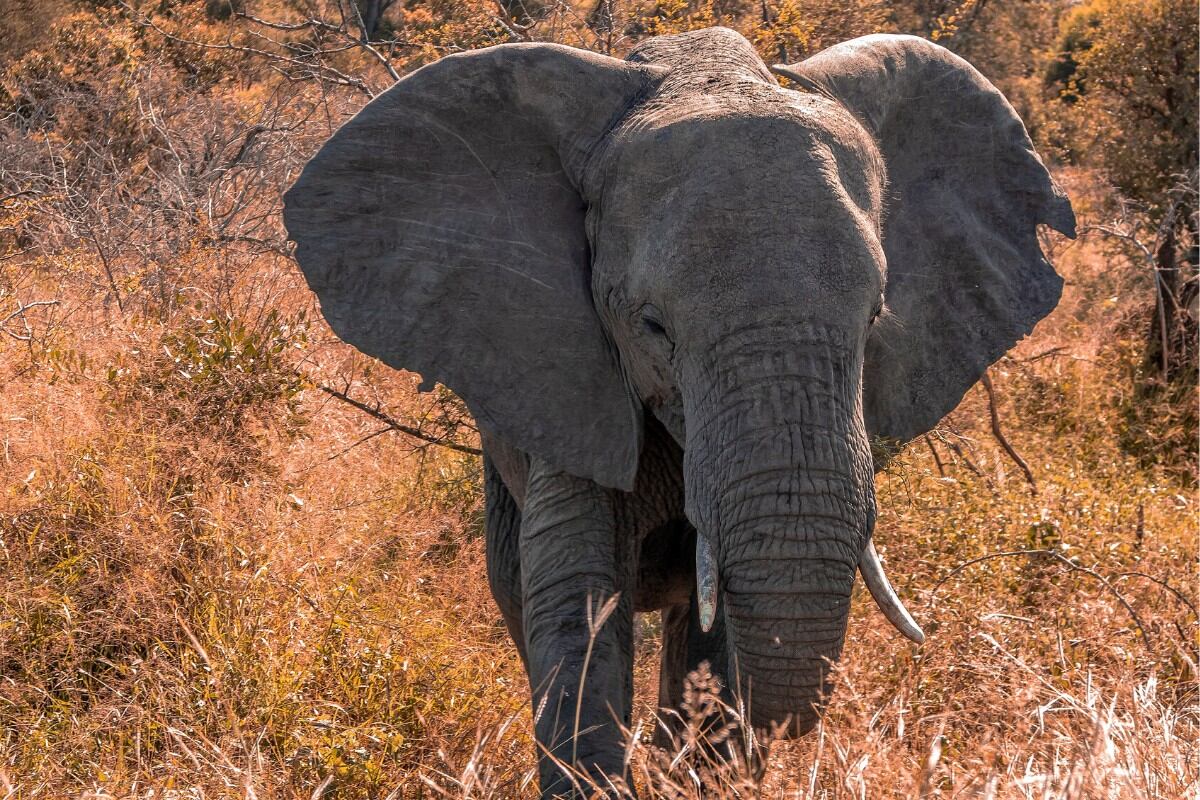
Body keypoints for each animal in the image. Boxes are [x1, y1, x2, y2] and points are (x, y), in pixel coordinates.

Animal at [283, 26, 1074, 796]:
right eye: (652, 326)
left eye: (877, 315)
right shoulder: (569, 374)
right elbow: (579, 599)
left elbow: (712, 625)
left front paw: (703, 770)